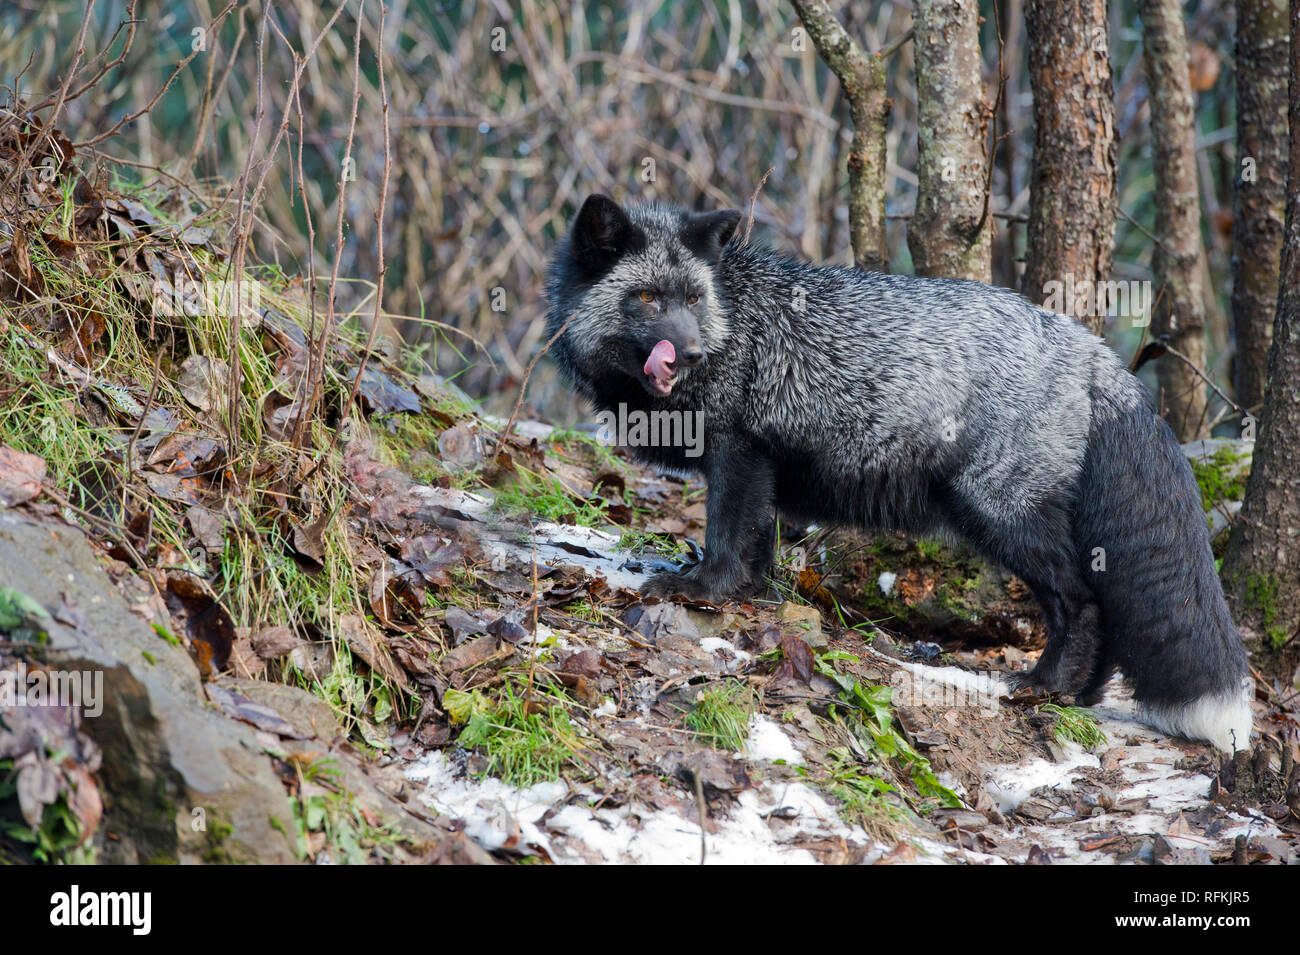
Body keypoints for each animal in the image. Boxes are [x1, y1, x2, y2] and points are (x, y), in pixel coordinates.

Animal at [546, 194, 1248, 748]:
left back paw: (1042, 686)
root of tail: (1093, 350)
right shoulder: (763, 465)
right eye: (646, 298)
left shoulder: (737, 451)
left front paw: (703, 590)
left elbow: (725, 536)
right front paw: (755, 599)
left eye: (693, 299)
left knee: (1082, 601)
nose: (692, 352)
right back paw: (1074, 697)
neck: (733, 319)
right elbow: (759, 548)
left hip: (998, 511)